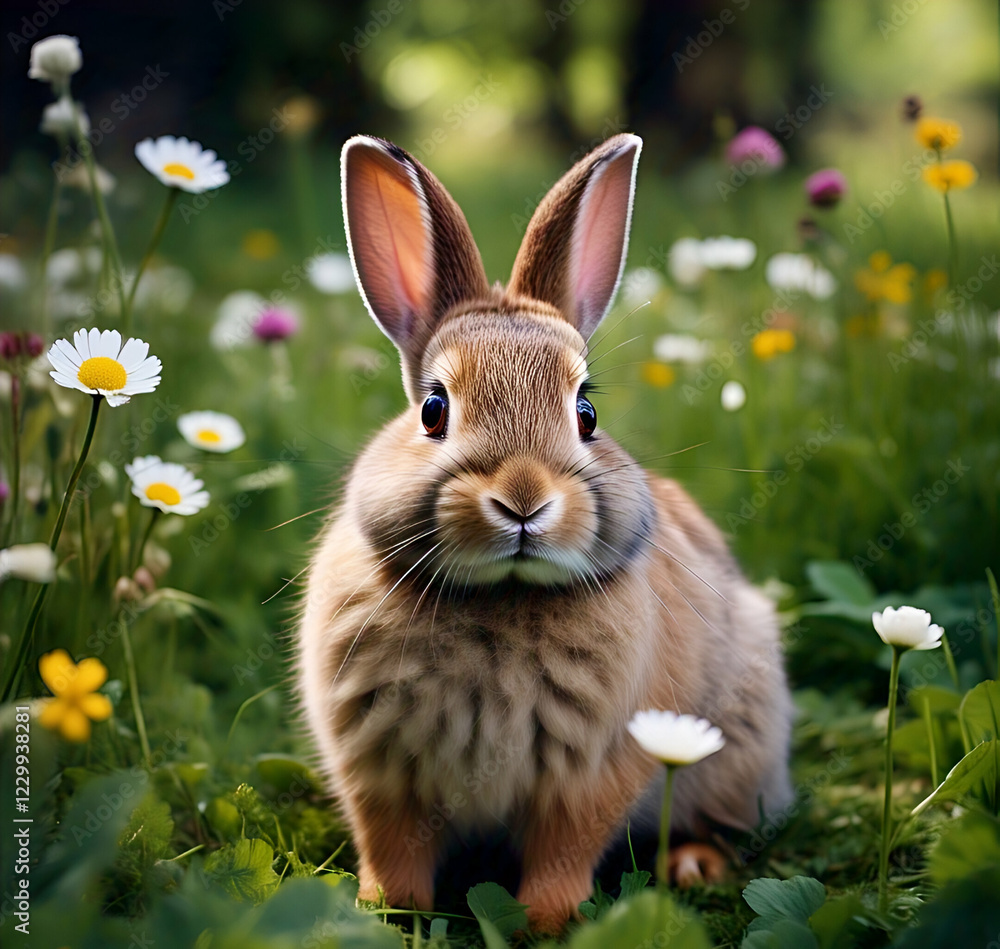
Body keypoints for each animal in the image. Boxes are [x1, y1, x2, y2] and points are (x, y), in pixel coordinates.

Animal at [297, 132, 793, 933]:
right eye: (433, 409)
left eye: (586, 413)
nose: (524, 500)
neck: (501, 598)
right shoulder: (377, 765)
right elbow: (392, 843)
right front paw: (388, 910)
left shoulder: (595, 769)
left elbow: (567, 846)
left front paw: (544, 920)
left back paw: (693, 864)